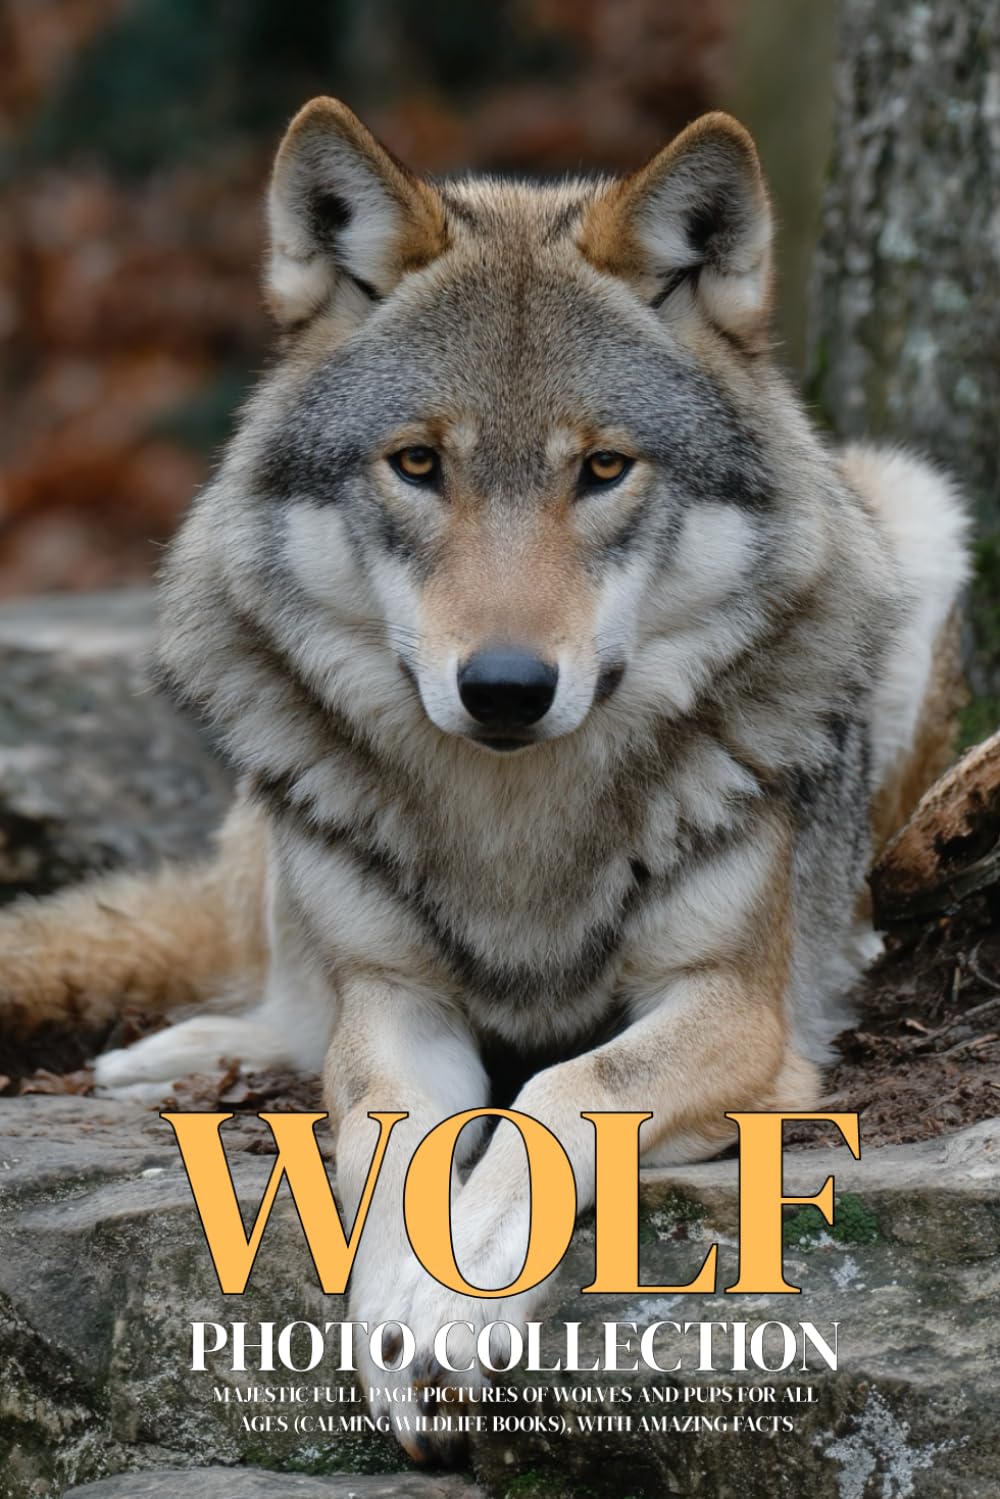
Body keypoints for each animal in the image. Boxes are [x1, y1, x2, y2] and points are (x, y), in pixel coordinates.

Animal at [0, 99, 967, 1461]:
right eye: (418, 464)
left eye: (603, 469)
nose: (505, 686)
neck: (517, 828)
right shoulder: (398, 1003)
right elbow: (389, 1127)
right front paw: (407, 1311)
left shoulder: (739, 1013)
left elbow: (564, 1091)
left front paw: (456, 1306)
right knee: (280, 982)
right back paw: (190, 1053)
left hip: (915, 511)